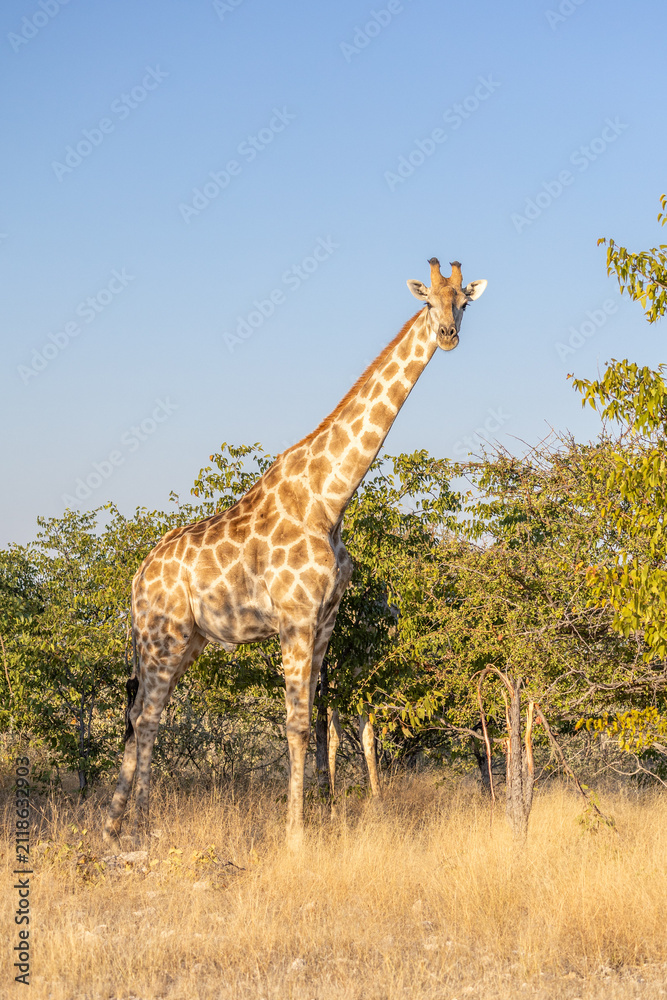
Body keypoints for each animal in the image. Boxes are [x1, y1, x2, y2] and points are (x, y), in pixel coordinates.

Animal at [103, 257, 487, 848]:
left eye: (463, 302)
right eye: (428, 301)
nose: (447, 335)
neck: (331, 499)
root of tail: (138, 578)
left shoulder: (325, 620)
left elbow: (322, 722)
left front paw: (324, 822)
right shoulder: (296, 616)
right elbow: (296, 723)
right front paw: (295, 836)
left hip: (185, 641)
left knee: (143, 711)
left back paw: (112, 824)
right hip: (161, 636)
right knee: (145, 718)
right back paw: (138, 827)